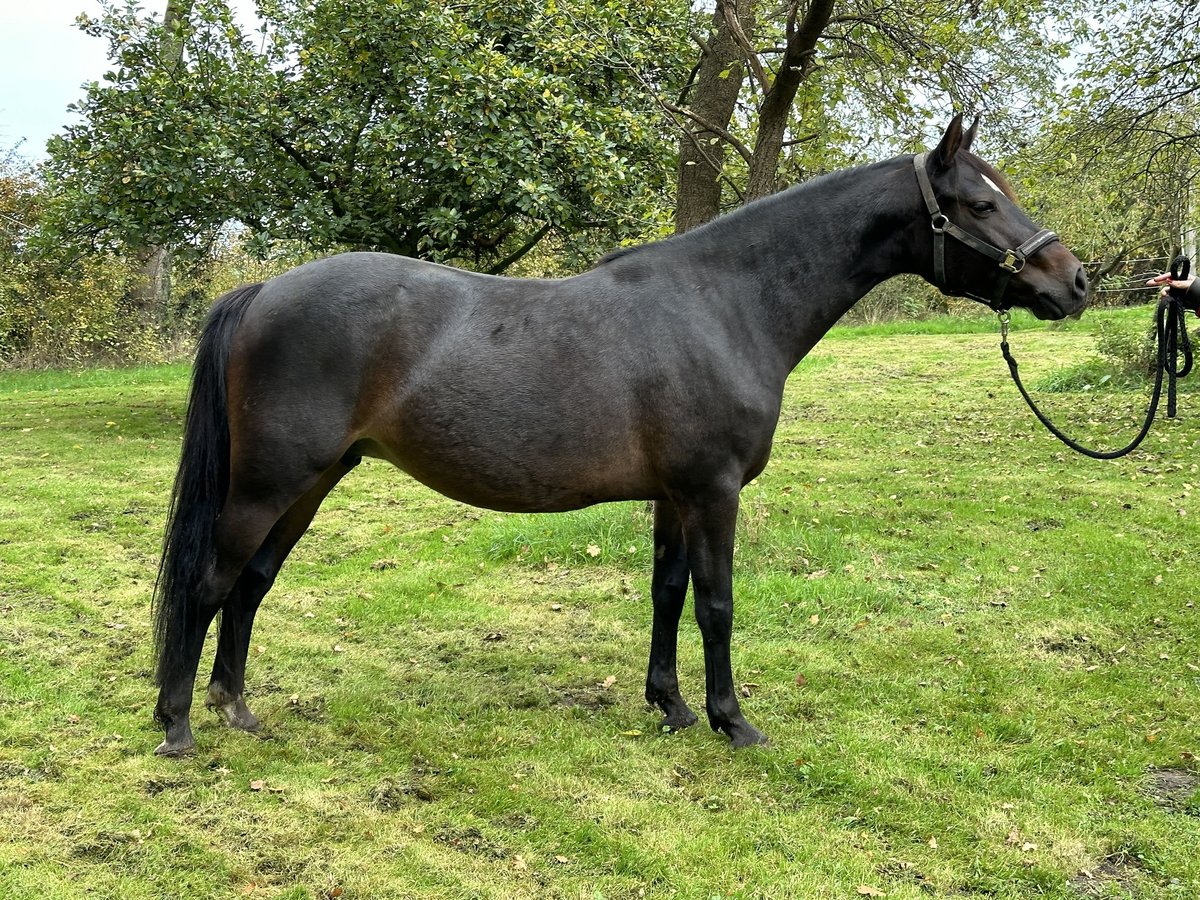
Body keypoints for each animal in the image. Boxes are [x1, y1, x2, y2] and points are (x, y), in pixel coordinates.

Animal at [150, 116, 1089, 758]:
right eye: (980, 202)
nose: (1075, 281)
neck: (725, 305)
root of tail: (264, 290)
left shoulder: (675, 496)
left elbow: (666, 594)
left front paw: (669, 706)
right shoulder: (713, 492)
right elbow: (716, 603)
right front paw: (733, 721)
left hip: (311, 484)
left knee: (250, 587)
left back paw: (236, 709)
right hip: (267, 485)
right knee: (209, 583)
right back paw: (178, 727)